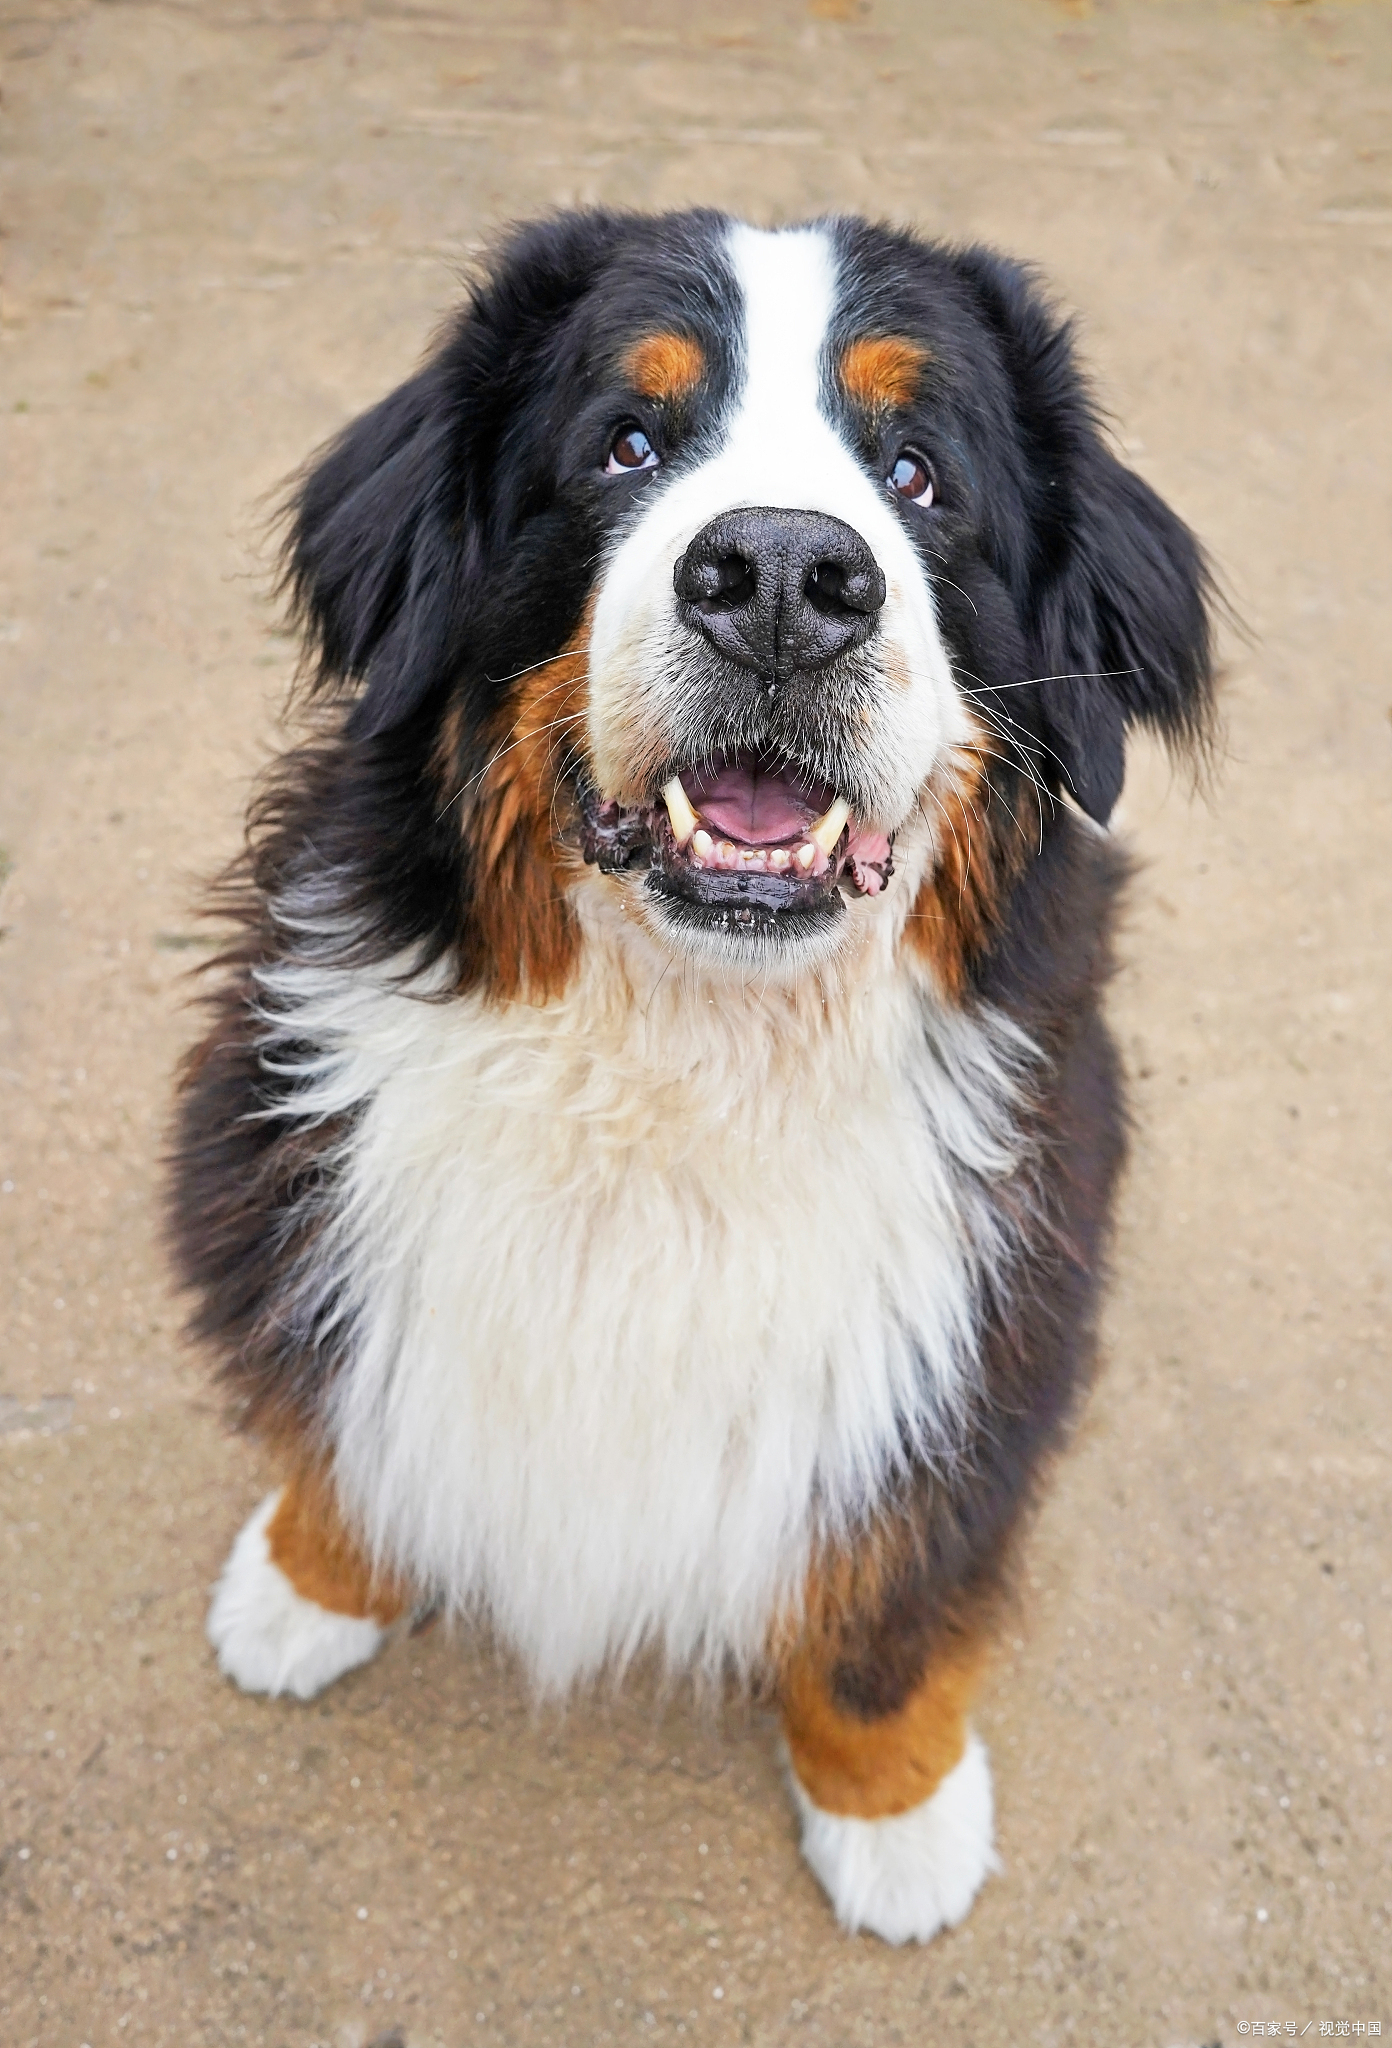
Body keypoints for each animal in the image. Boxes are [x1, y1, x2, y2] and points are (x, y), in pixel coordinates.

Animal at [168, 211, 1211, 1949]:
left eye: (919, 473)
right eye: (626, 443)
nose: (784, 577)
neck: (683, 1070)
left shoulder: (982, 1338)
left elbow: (883, 1601)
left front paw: (897, 1810)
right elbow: (346, 1419)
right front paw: (312, 1581)